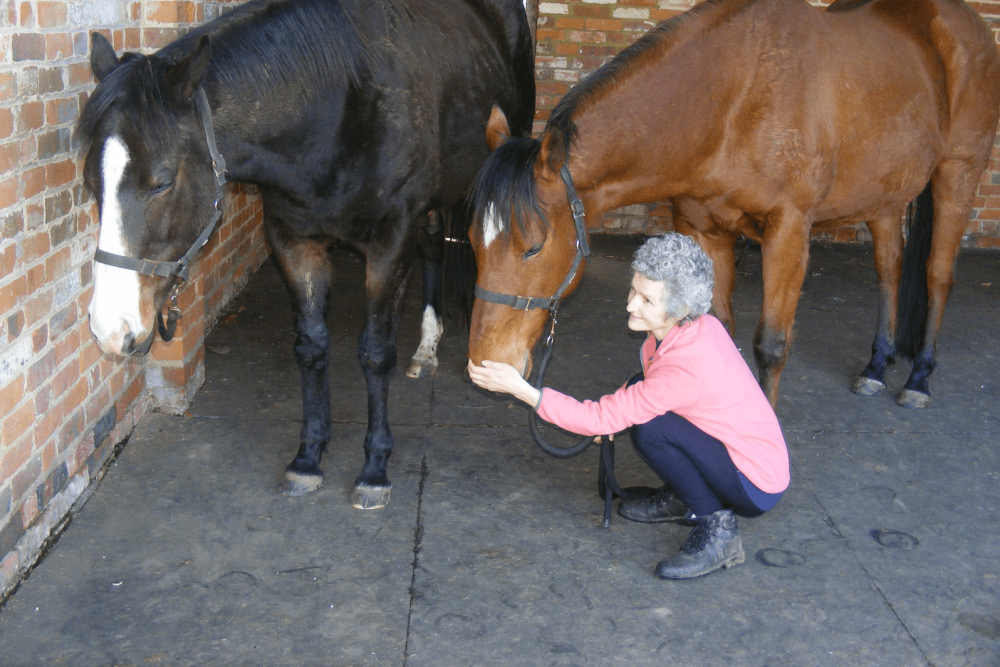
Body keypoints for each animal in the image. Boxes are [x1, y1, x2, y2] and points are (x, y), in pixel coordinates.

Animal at [77, 0, 535, 508]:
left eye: (161, 182)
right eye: (91, 183)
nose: (109, 328)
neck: (333, 110)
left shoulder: (390, 242)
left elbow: (375, 353)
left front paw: (375, 467)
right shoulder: (292, 241)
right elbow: (311, 348)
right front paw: (308, 457)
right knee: (434, 245)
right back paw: (426, 348)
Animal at [466, 0, 1000, 410]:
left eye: (533, 247)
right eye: (472, 241)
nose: (483, 366)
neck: (735, 100)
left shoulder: (788, 232)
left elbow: (771, 345)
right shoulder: (703, 227)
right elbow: (717, 327)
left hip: (957, 175)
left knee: (937, 275)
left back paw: (919, 377)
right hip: (885, 194)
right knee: (889, 270)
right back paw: (876, 365)